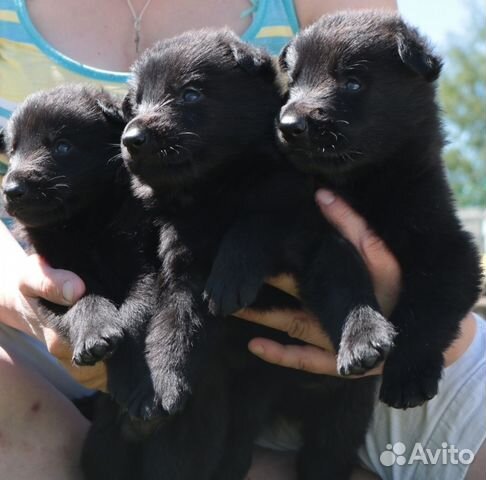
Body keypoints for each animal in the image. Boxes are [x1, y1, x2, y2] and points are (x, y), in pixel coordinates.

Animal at [0, 84, 158, 406]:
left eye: (62, 146)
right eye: (13, 151)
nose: (10, 190)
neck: (84, 225)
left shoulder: (146, 266)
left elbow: (136, 312)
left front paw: (131, 378)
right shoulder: (50, 282)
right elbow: (83, 299)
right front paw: (94, 333)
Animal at [274, 10, 482, 408]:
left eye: (353, 83)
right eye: (292, 83)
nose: (289, 125)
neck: (363, 184)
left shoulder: (448, 247)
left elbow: (427, 306)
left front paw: (408, 376)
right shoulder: (317, 237)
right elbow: (342, 275)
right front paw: (361, 337)